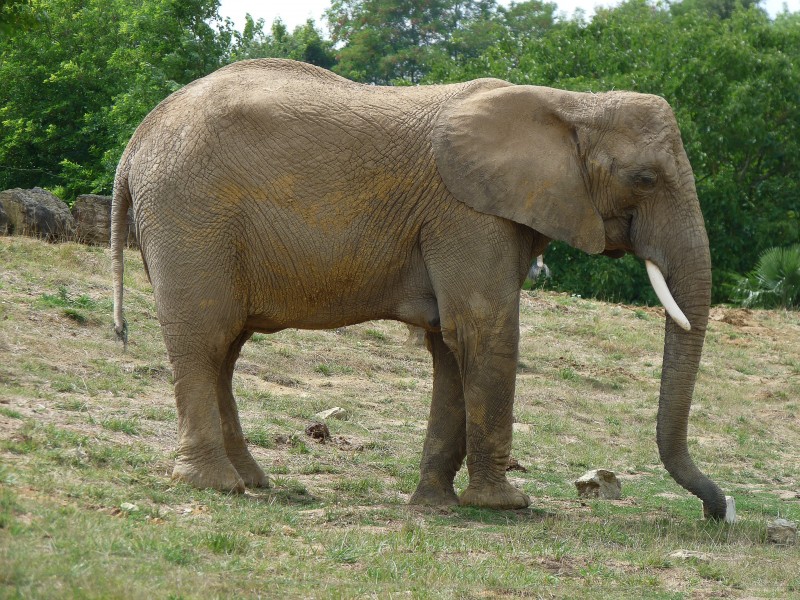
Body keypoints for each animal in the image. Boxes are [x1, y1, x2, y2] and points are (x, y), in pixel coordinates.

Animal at [111, 59, 732, 520]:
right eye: (645, 179)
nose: (717, 511)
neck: (572, 103)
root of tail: (134, 143)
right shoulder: (468, 214)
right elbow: (483, 331)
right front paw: (506, 504)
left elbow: (449, 343)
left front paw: (436, 503)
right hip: (190, 216)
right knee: (204, 339)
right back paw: (215, 487)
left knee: (226, 348)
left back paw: (253, 482)